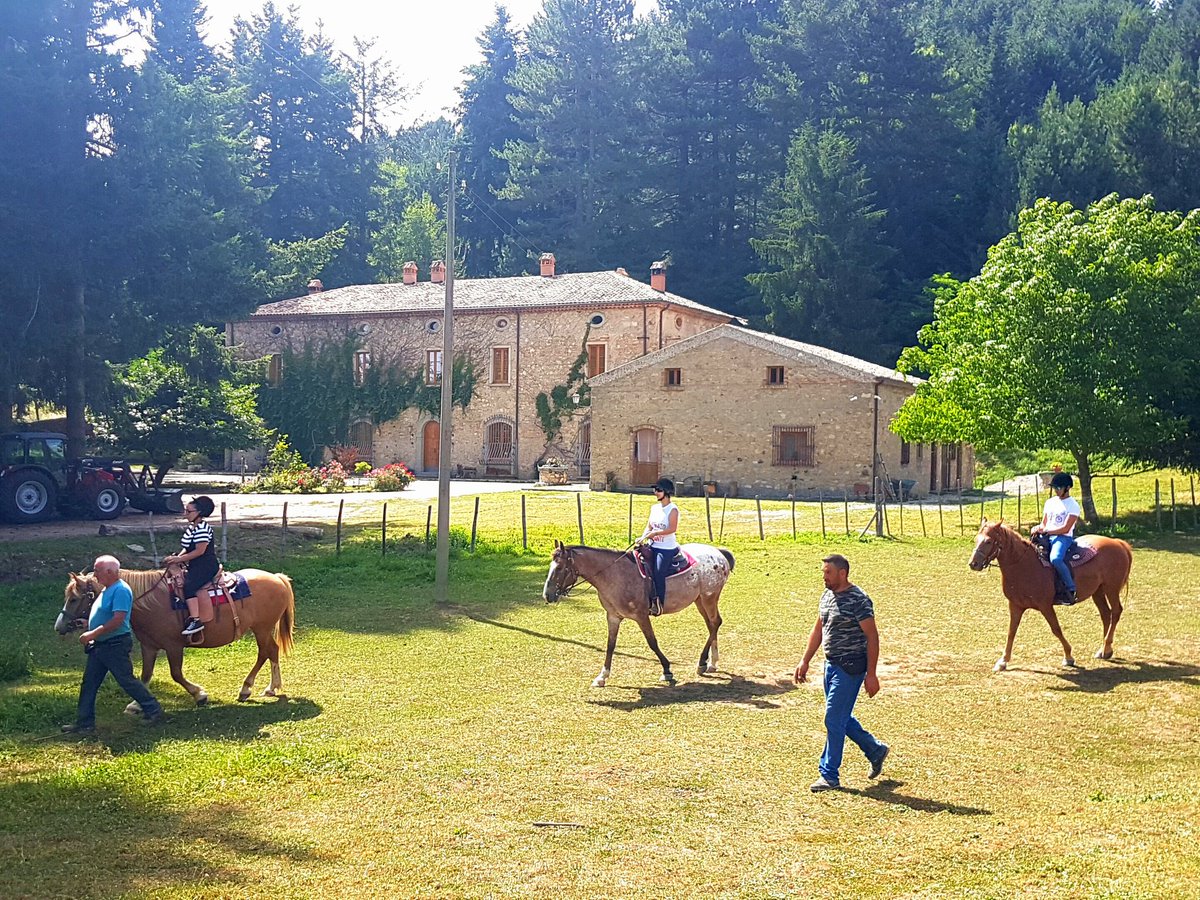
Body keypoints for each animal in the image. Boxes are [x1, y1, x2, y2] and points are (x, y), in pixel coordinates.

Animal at [56, 566, 296, 706]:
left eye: (74, 599)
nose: (59, 626)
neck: (148, 601)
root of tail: (277, 577)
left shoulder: (173, 646)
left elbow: (176, 674)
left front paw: (199, 694)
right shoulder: (149, 646)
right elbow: (145, 674)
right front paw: (137, 704)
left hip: (262, 628)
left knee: (265, 652)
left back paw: (246, 688)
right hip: (263, 629)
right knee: (272, 651)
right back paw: (271, 687)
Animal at [542, 540, 735, 687]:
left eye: (559, 568)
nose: (547, 595)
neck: (615, 574)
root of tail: (718, 553)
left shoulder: (641, 616)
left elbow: (652, 642)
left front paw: (667, 670)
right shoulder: (613, 616)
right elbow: (610, 645)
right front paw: (602, 676)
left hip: (709, 597)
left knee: (715, 623)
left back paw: (702, 663)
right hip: (700, 600)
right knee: (711, 624)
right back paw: (711, 663)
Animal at [968, 519, 1132, 672]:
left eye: (988, 541)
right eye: (976, 539)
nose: (973, 564)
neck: (1023, 564)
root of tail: (1118, 543)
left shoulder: (1045, 606)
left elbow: (1056, 629)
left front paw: (1068, 657)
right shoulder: (1015, 605)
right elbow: (1011, 631)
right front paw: (1003, 661)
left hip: (1111, 589)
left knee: (1116, 612)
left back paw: (1106, 648)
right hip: (1098, 592)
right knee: (1106, 614)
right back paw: (1104, 650)